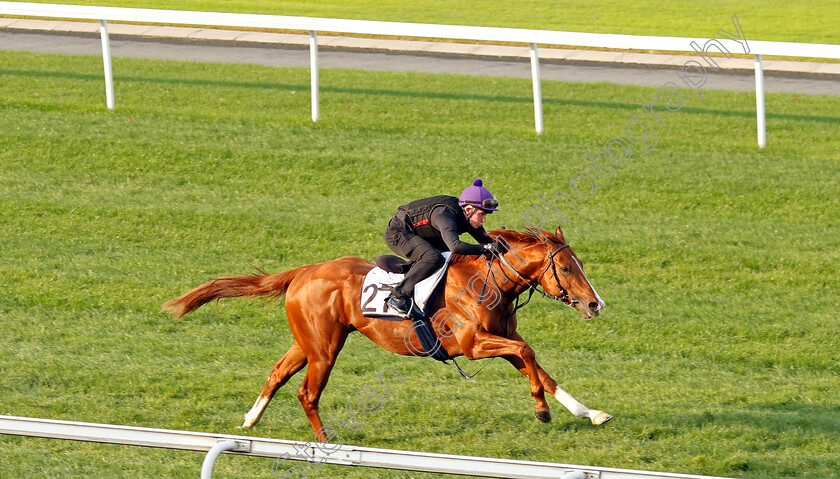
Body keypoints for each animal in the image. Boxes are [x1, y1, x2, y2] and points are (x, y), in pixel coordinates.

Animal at [162, 225, 612, 438]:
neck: (490, 282)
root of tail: (304, 271)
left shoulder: (503, 341)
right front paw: (541, 410)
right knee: (307, 392)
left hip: (311, 341)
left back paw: (250, 421)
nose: (596, 304)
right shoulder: (473, 344)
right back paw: (323, 440)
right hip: (324, 349)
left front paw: (590, 413)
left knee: (277, 373)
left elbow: (539, 367)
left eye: (581, 264)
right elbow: (531, 355)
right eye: (567, 267)